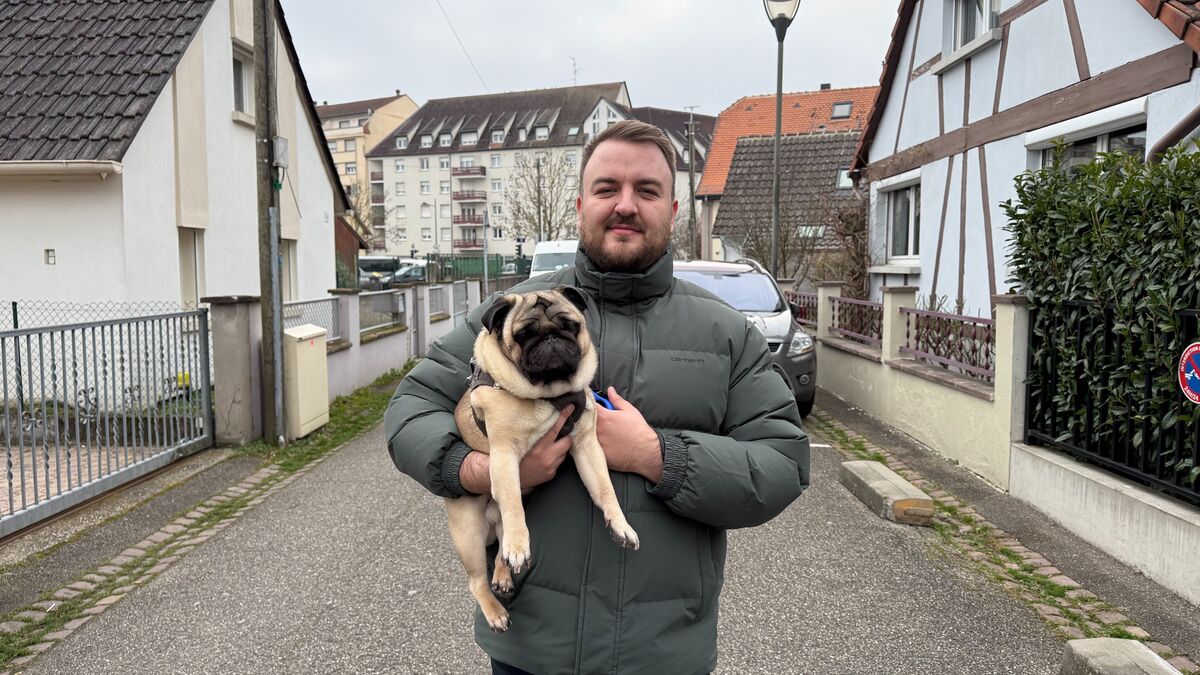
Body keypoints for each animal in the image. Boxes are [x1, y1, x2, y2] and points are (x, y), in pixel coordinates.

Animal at [448, 288, 638, 629]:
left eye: (570, 326)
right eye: (524, 335)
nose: (550, 338)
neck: (550, 395)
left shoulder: (586, 445)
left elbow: (604, 489)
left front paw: (620, 524)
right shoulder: (504, 454)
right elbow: (511, 500)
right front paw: (519, 546)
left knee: (500, 551)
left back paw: (504, 574)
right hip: (468, 530)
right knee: (477, 578)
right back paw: (495, 609)